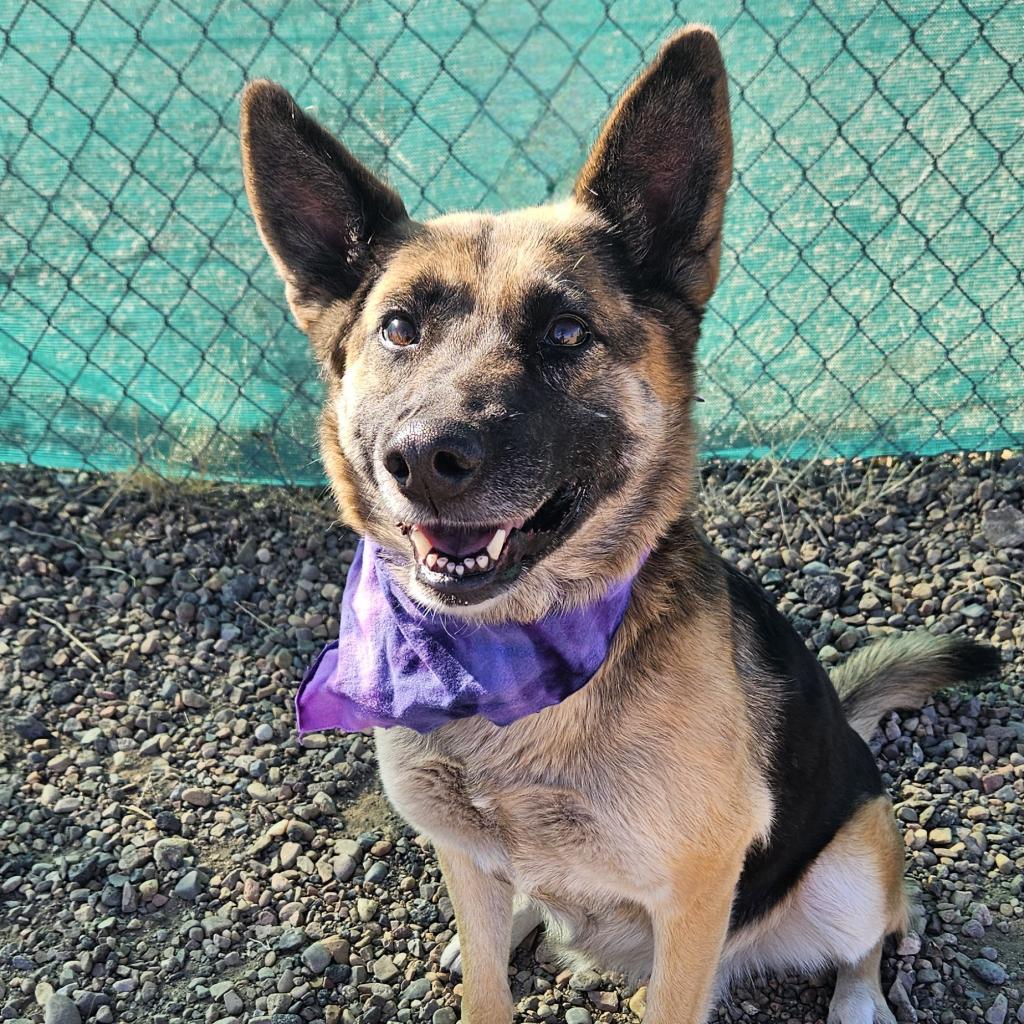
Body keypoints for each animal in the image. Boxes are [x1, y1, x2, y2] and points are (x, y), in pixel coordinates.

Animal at [237, 25, 991, 1024]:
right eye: (398, 328)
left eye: (564, 332)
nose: (423, 459)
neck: (512, 665)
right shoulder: (465, 848)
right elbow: (485, 982)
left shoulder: (696, 893)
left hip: (852, 863)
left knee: (876, 936)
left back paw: (859, 1001)